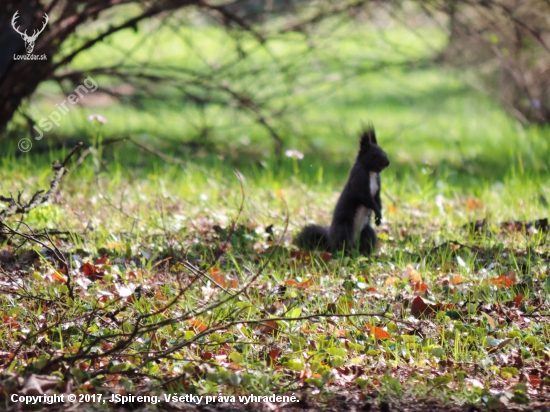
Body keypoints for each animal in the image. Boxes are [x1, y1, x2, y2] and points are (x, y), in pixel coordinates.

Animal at [298, 125, 392, 254]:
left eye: (385, 152)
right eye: (374, 155)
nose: (387, 163)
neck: (371, 172)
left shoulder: (377, 187)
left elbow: (377, 199)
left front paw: (379, 217)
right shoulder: (358, 180)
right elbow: (365, 198)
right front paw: (377, 211)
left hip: (367, 232)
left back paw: (365, 253)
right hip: (344, 229)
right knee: (340, 245)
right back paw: (342, 252)